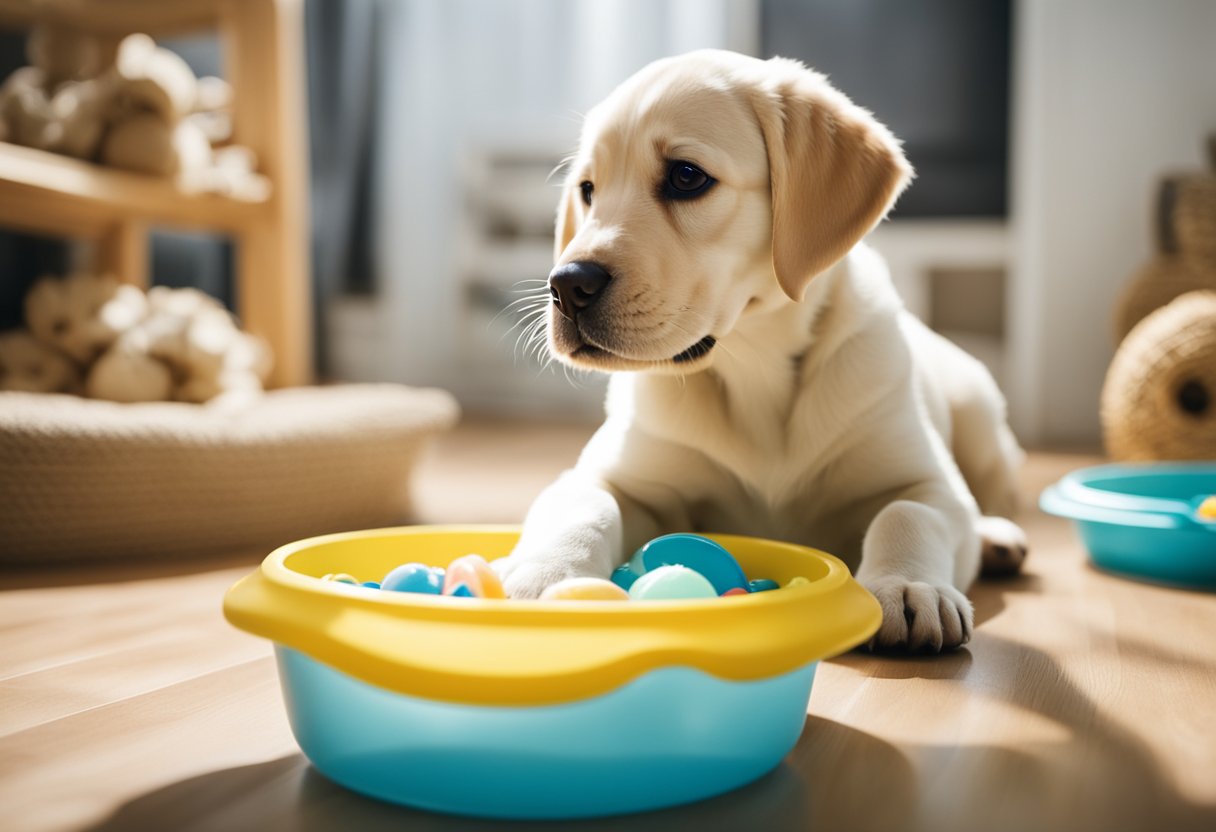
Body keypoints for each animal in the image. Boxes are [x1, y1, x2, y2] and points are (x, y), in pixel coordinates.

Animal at [493, 48, 1026, 651]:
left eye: (686, 176)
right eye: (588, 189)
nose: (566, 286)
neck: (752, 365)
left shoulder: (932, 483)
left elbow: (908, 512)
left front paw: (909, 587)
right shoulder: (612, 473)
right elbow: (585, 503)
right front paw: (545, 573)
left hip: (980, 412)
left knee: (993, 492)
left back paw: (998, 535)